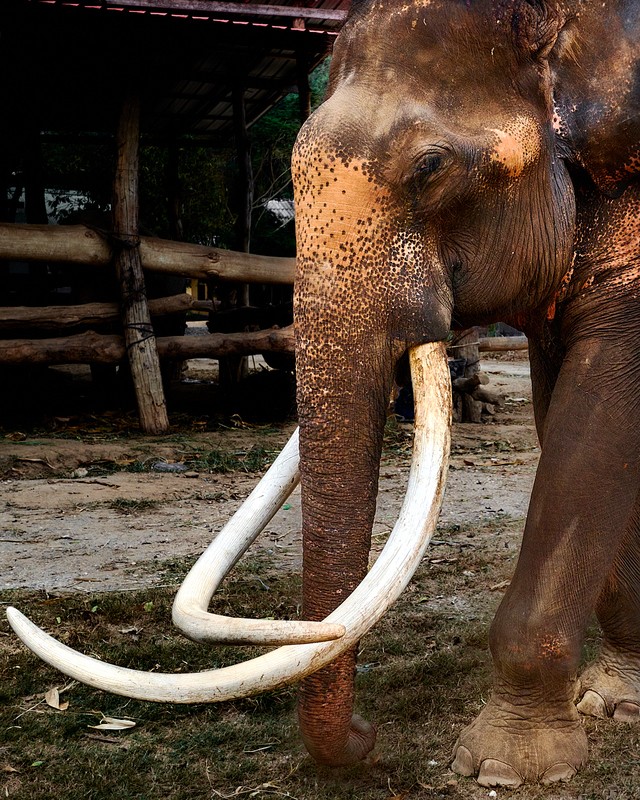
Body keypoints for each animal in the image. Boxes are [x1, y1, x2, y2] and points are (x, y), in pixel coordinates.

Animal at [6, 0, 640, 788]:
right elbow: (574, 416)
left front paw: (502, 768)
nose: (367, 736)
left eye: (431, 167)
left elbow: (595, 422)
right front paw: (614, 703)